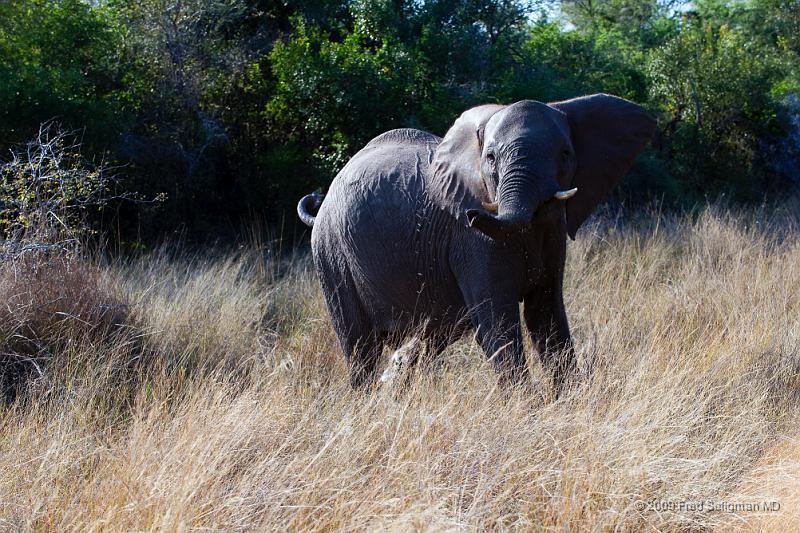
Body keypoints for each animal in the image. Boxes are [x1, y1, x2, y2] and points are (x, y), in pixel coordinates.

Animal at [296, 93, 652, 392]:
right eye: (491, 158)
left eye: (565, 154)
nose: (471, 214)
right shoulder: (471, 242)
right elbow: (497, 321)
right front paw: (527, 410)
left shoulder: (551, 231)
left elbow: (546, 315)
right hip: (331, 255)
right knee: (359, 347)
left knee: (422, 342)